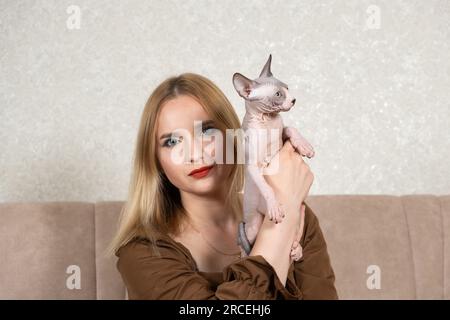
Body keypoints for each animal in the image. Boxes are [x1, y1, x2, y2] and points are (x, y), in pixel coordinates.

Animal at [234, 53, 314, 262]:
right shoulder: (252, 165)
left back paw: (296, 250)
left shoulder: (282, 132)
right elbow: (267, 186)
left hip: (300, 211)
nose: (294, 100)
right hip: (253, 225)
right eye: (278, 94)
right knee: (246, 246)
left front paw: (304, 146)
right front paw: (275, 207)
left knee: (295, 232)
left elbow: (290, 128)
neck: (268, 121)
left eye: (287, 88)